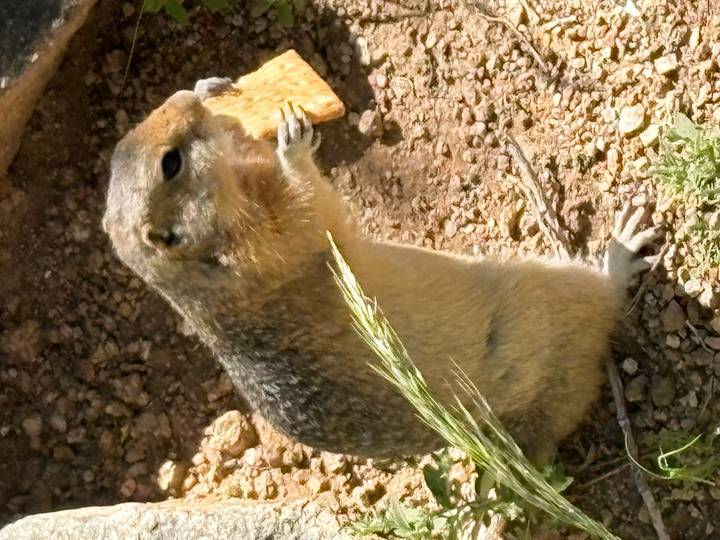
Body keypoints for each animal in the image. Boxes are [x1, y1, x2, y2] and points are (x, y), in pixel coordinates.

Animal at [102, 78, 658, 464]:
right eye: (170, 164)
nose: (184, 99)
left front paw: (214, 91)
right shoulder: (264, 244)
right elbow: (304, 206)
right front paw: (291, 138)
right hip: (552, 291)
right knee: (607, 295)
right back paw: (624, 245)